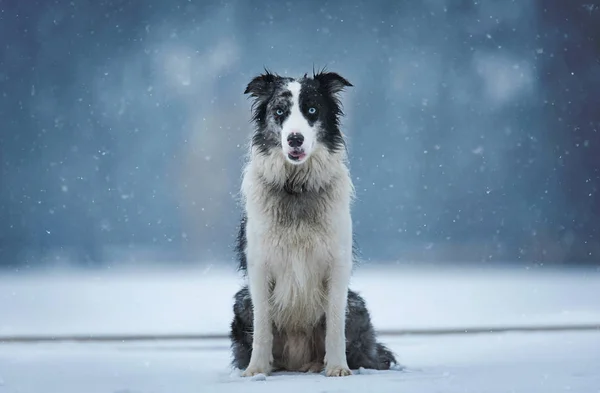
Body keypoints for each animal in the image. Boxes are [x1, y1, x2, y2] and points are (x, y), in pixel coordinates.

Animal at [227, 69, 396, 376]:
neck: (297, 186)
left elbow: (335, 326)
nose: (295, 138)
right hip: (241, 300)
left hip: (357, 304)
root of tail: (296, 362)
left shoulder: (337, 265)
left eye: (312, 110)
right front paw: (256, 370)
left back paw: (320, 364)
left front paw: (338, 368)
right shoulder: (259, 266)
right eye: (279, 111)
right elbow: (262, 328)